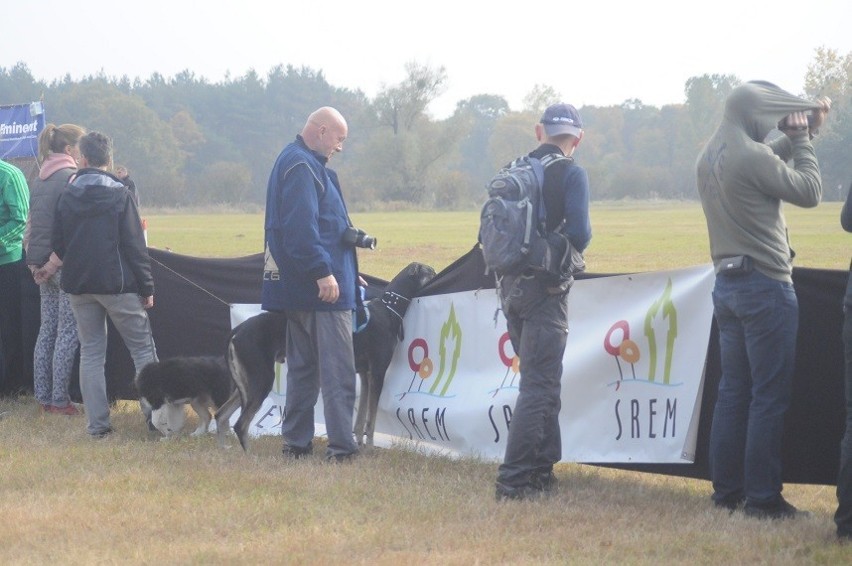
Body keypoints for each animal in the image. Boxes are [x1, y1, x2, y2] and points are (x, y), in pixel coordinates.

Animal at [216, 264, 436, 454]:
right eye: (431, 271)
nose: (436, 272)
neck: (388, 308)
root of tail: (238, 330)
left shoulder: (365, 374)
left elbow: (360, 419)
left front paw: (359, 445)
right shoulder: (378, 373)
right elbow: (371, 420)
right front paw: (370, 448)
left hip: (246, 384)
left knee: (221, 415)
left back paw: (225, 449)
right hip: (261, 380)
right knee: (240, 424)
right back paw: (249, 455)